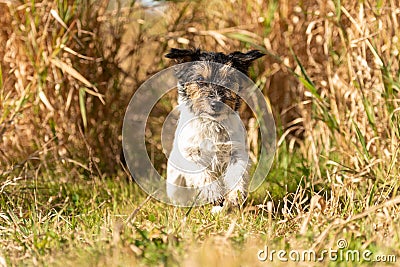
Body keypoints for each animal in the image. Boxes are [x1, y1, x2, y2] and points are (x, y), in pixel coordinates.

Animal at [164, 48, 264, 211]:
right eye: (200, 80)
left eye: (229, 80)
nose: (216, 103)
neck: (212, 123)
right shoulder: (191, 155)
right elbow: (204, 175)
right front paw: (215, 195)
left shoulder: (236, 152)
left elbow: (236, 174)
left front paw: (235, 196)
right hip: (175, 182)